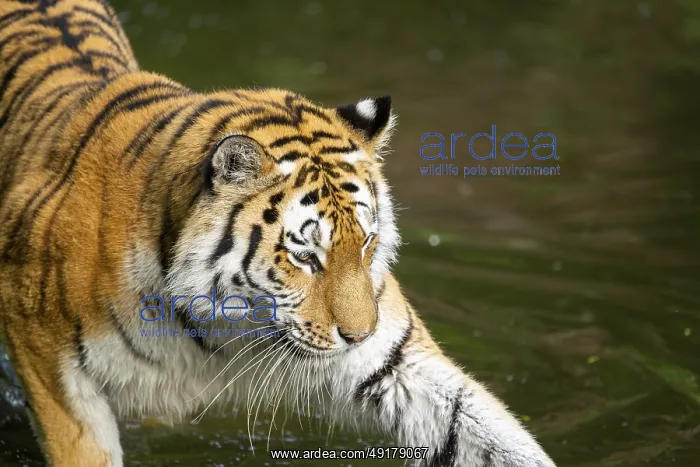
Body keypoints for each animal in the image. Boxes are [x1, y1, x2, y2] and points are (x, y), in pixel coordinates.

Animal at [0, 1, 557, 466]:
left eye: (366, 243)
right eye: (306, 257)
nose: (360, 336)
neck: (214, 331)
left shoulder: (395, 366)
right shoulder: (52, 367)